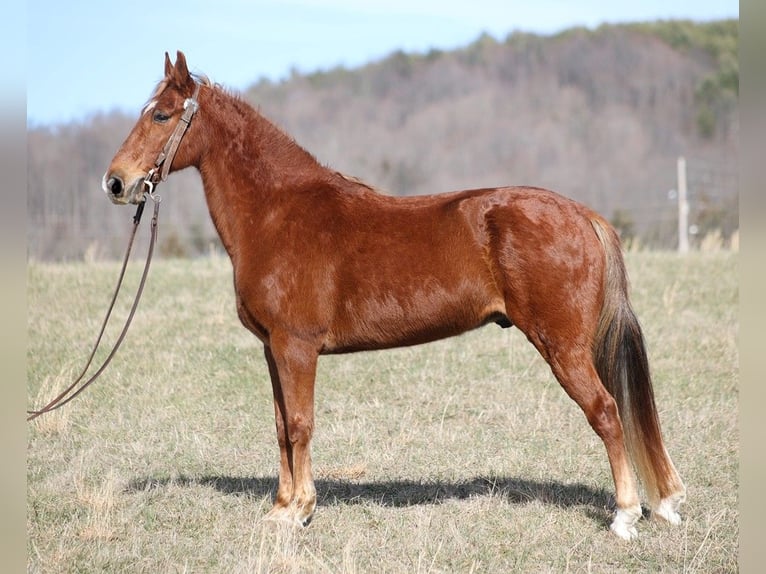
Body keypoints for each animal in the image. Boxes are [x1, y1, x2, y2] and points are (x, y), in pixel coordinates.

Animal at [105, 51, 688, 544]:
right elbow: (280, 427)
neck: (276, 213)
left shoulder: (297, 348)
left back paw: (625, 517)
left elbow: (300, 425)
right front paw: (280, 508)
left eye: (161, 116)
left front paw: (300, 511)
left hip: (563, 347)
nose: (116, 182)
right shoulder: (273, 350)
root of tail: (582, 215)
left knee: (607, 412)